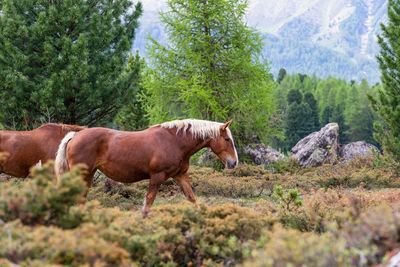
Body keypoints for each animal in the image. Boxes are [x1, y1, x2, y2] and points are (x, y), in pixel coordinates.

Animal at [55, 120, 239, 217]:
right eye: (227, 139)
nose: (234, 163)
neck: (174, 141)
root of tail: (75, 135)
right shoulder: (157, 177)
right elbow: (149, 201)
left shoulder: (180, 175)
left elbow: (192, 197)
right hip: (83, 174)